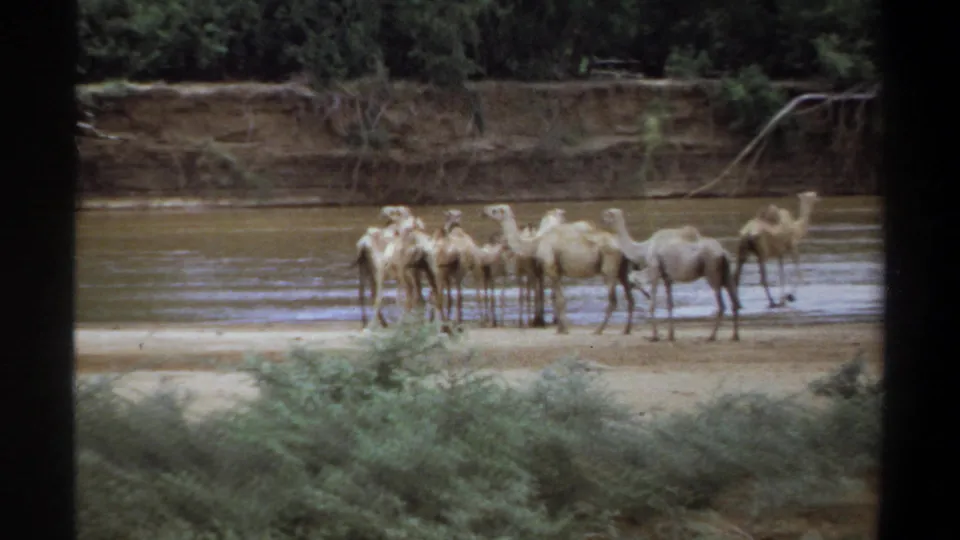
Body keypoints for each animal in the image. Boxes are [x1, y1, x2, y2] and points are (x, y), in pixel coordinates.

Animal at [483, 204, 637, 335]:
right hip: (622, 270)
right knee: (630, 297)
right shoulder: (558, 271)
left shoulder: (551, 269)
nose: (484, 211)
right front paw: (560, 328)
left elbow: (560, 300)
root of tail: (620, 245)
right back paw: (626, 330)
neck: (536, 243)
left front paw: (564, 329)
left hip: (609, 267)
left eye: (495, 210)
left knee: (613, 299)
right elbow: (556, 298)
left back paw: (598, 330)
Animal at [603, 208, 741, 342]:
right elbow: (670, 304)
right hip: (726, 272)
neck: (644, 249)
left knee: (722, 304)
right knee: (734, 301)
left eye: (609, 213)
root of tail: (722, 252)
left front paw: (654, 336)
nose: (601, 217)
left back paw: (711, 337)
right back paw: (735, 336)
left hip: (711, 269)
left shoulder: (655, 269)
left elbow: (652, 304)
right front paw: (670, 335)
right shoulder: (667, 277)